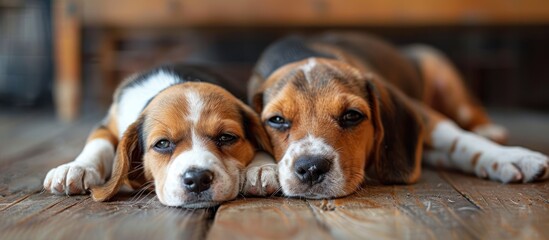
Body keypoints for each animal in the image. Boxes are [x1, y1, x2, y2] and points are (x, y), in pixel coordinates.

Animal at [44, 64, 270, 207]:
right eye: (162, 143)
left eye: (226, 137)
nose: (197, 179)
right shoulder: (107, 124)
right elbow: (98, 143)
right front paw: (76, 167)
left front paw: (261, 168)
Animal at [248, 32, 548, 200]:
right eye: (277, 120)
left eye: (352, 116)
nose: (311, 168)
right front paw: (260, 169)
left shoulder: (425, 115)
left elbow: (459, 140)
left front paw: (511, 157)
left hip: (438, 65)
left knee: (470, 113)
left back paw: (488, 129)